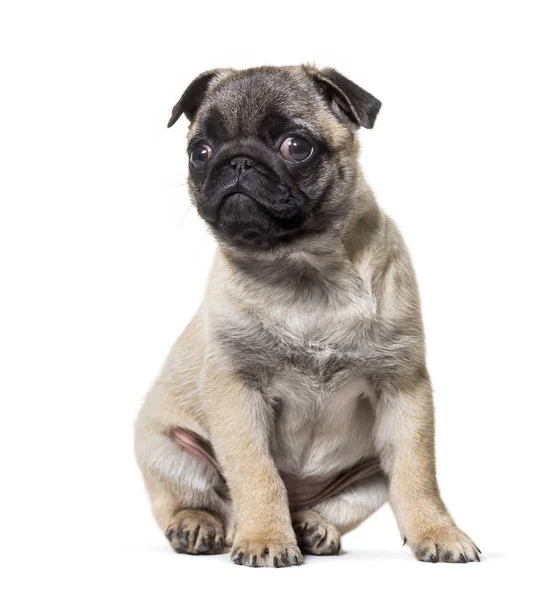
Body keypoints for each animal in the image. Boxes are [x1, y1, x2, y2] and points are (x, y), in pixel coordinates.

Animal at [133, 65, 480, 568]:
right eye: (200, 152)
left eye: (296, 146)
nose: (237, 161)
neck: (300, 269)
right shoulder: (237, 393)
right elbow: (257, 473)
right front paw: (264, 537)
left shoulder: (404, 389)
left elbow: (417, 477)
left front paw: (439, 532)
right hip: (166, 448)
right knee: (192, 501)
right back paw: (201, 525)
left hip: (368, 477)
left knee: (336, 502)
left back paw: (311, 526)